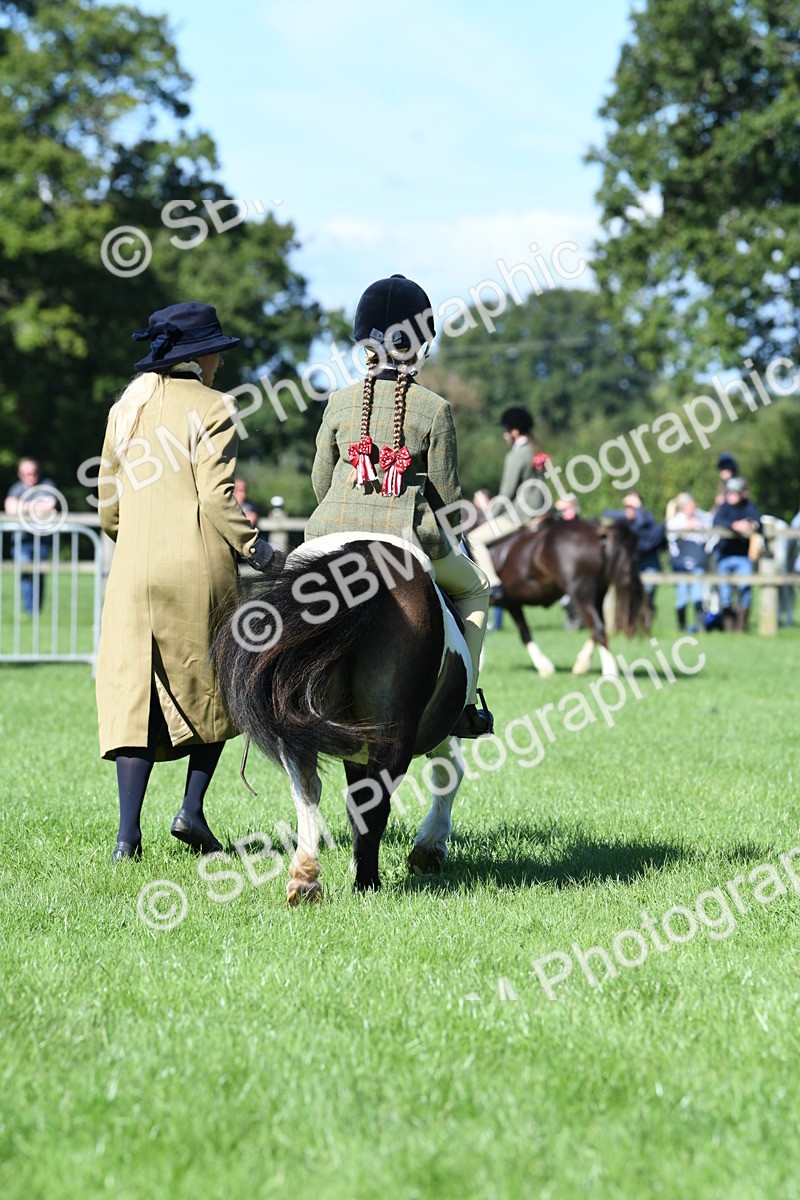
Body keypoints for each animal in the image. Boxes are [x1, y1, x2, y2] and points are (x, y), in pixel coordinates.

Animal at [212, 534, 472, 901]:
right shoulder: (441, 732)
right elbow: (449, 774)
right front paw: (429, 848)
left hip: (296, 726)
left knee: (307, 790)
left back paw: (306, 879)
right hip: (394, 735)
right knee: (373, 802)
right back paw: (367, 882)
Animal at [488, 517, 645, 677]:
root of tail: (598, 532)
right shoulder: (512, 603)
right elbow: (524, 632)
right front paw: (544, 666)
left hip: (582, 596)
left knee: (597, 627)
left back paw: (609, 671)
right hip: (597, 596)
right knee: (598, 627)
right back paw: (582, 664)